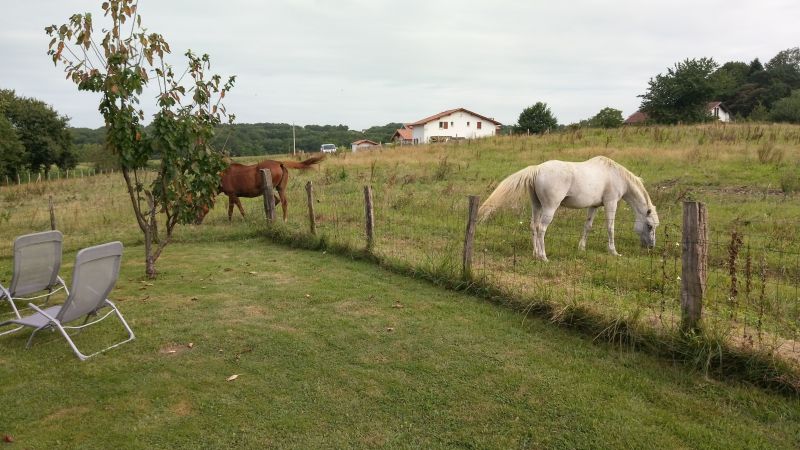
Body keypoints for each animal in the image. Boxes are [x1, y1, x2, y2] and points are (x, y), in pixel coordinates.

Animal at [478, 156, 660, 260]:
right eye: (649, 226)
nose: (651, 246)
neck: (615, 175)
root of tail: (537, 169)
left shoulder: (594, 206)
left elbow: (588, 226)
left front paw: (582, 248)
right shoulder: (611, 203)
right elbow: (610, 228)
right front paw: (613, 251)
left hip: (537, 206)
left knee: (533, 226)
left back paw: (535, 253)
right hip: (550, 208)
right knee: (541, 228)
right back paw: (543, 256)